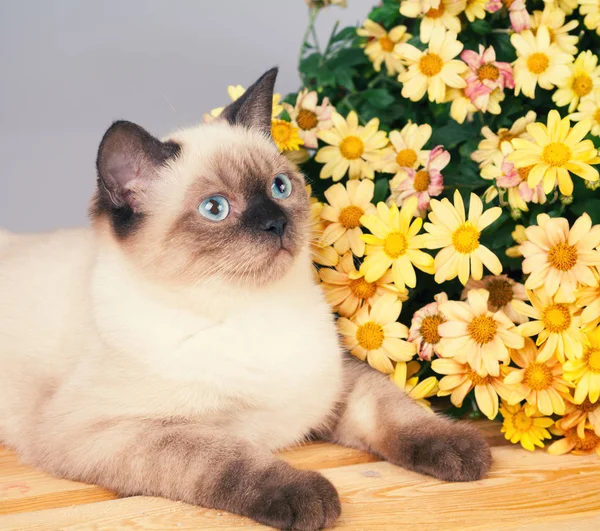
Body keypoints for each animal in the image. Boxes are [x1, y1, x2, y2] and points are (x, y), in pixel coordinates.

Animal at [0, 69, 490, 531]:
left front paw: (465, 451)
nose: (276, 224)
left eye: (280, 187)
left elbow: (397, 411)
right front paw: (308, 498)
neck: (249, 309)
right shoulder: (118, 431)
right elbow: (228, 459)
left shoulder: (339, 384)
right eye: (216, 209)